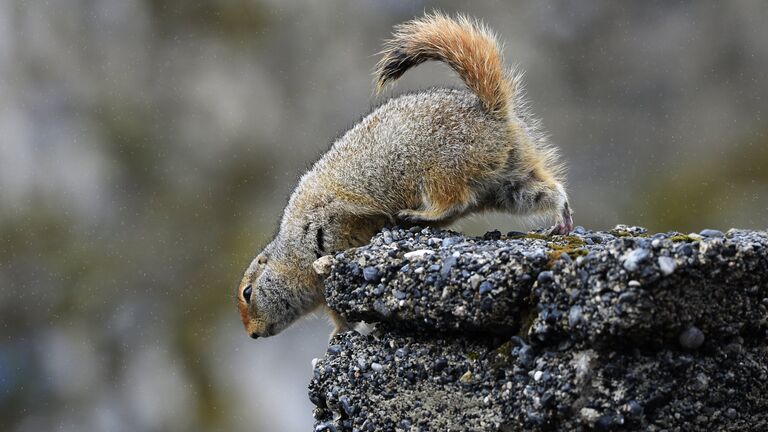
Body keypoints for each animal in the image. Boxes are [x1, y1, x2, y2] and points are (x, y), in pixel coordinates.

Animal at [237, 11, 572, 340]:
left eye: (247, 292)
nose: (252, 334)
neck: (291, 255)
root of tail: (492, 111)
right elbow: (340, 317)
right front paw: (339, 333)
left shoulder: (330, 219)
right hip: (509, 182)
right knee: (548, 192)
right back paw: (562, 219)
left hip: (441, 170)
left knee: (453, 201)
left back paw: (416, 215)